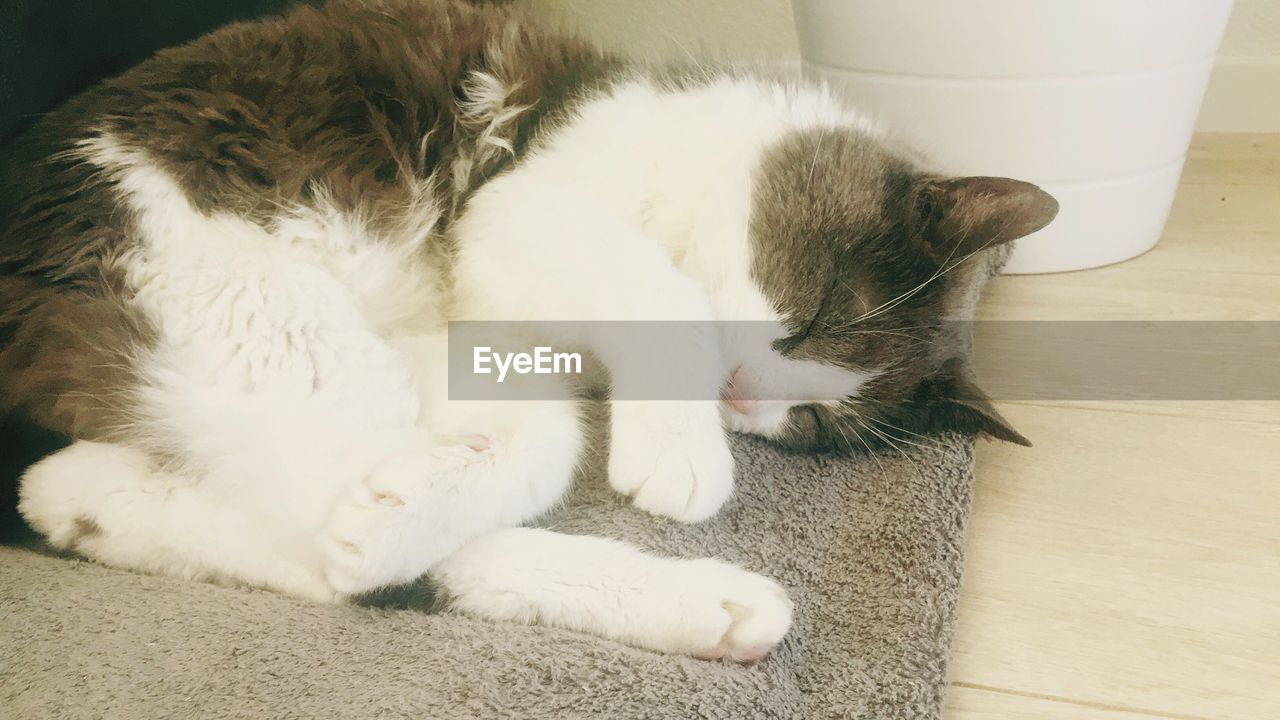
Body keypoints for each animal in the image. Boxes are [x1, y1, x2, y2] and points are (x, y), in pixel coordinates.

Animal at [5, 0, 1054, 661]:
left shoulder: (483, 334)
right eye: (824, 314)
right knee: (328, 553)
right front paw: (679, 453)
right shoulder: (516, 210)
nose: (745, 398)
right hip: (239, 296)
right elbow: (659, 297)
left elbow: (543, 445)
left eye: (816, 427)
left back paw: (85, 499)